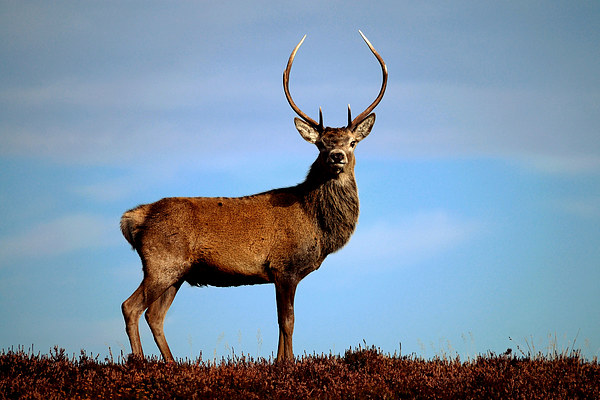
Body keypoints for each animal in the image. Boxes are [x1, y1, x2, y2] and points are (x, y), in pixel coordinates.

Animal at [119, 31, 386, 362]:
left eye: (352, 142)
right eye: (321, 144)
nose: (337, 156)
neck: (317, 226)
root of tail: (134, 217)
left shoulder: (278, 274)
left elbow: (280, 321)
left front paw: (278, 362)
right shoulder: (284, 266)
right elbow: (288, 320)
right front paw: (289, 363)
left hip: (176, 273)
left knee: (155, 315)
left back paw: (171, 364)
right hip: (161, 262)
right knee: (130, 306)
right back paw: (139, 362)